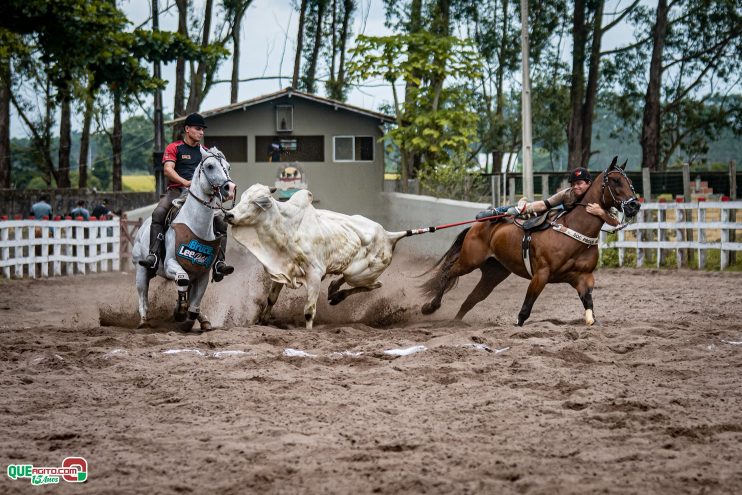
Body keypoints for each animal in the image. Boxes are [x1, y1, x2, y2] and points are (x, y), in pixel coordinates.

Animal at [132, 149, 237, 332]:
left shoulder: (202, 274)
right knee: (143, 296)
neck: (195, 226)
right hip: (142, 270)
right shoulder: (170, 265)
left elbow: (195, 302)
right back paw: (144, 321)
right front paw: (179, 312)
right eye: (210, 166)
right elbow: (182, 280)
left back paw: (203, 319)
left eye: (228, 166)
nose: (229, 189)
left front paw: (191, 317)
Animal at [227, 183, 406, 330]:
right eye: (242, 197)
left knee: (375, 284)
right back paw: (333, 290)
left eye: (256, 202)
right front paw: (262, 322)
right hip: (353, 273)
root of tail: (388, 234)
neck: (288, 228)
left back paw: (338, 295)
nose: (229, 214)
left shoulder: (314, 275)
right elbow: (271, 298)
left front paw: (308, 331)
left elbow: (308, 311)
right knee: (350, 280)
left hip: (358, 275)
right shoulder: (282, 270)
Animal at [422, 157, 644, 328]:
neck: (573, 231)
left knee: (471, 299)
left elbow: (589, 307)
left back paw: (455, 322)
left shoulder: (583, 278)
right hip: (470, 261)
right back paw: (430, 307)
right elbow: (525, 310)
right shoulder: (541, 275)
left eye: (629, 180)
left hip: (494, 272)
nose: (634, 205)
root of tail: (477, 225)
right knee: (448, 273)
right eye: (615, 180)